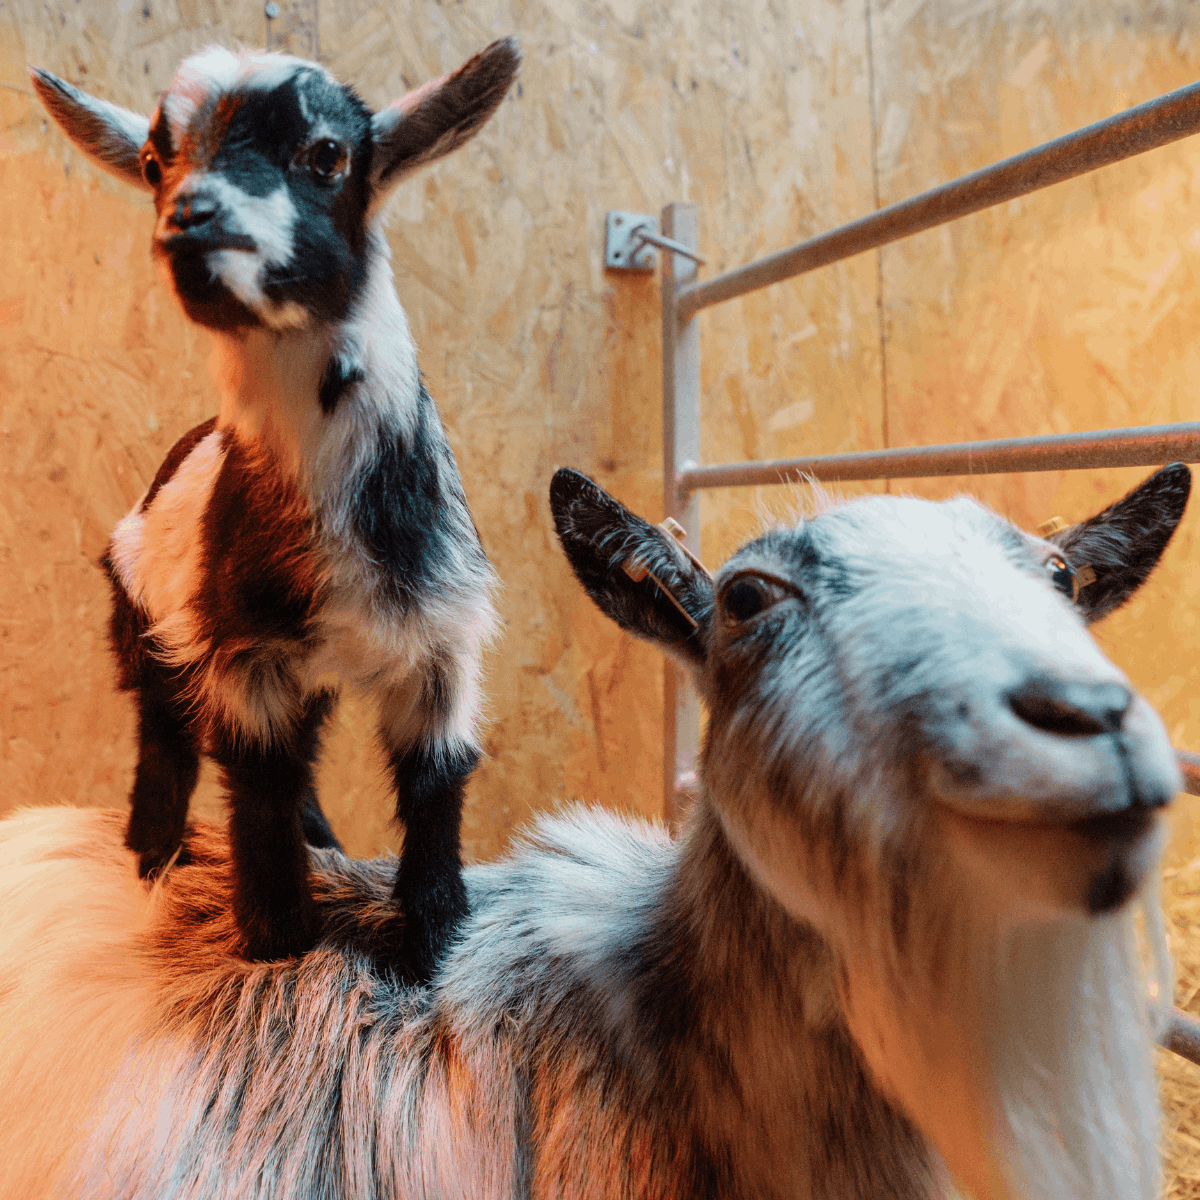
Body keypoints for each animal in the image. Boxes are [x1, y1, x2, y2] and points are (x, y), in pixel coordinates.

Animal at [28, 40, 519, 977]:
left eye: (326, 155)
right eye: (156, 162)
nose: (190, 223)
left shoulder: (442, 646)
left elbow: (435, 784)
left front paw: (432, 941)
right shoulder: (240, 646)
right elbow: (255, 779)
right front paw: (275, 938)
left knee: (304, 749)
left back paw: (322, 838)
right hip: (143, 615)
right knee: (166, 728)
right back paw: (152, 851)